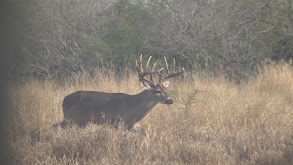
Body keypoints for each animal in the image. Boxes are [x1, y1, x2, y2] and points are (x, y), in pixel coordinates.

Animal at [54, 54, 182, 133]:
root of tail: (64, 100)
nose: (171, 100)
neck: (133, 107)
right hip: (70, 117)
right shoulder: (117, 122)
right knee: (55, 126)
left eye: (166, 90)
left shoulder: (130, 125)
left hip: (81, 122)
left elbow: (145, 132)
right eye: (157, 91)